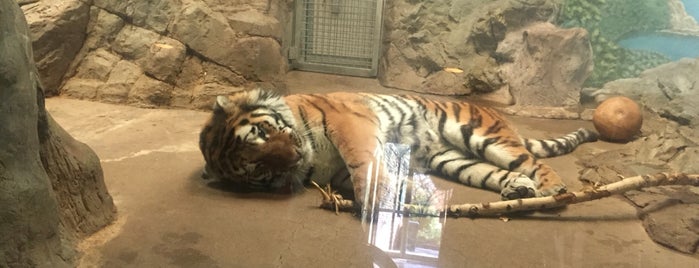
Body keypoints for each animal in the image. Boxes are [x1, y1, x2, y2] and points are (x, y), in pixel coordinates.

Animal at [200, 89, 600, 213]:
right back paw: (519, 189)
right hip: (452, 160)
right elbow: (389, 176)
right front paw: (408, 196)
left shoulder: (350, 123)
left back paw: (551, 188)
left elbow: (363, 162)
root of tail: (496, 113)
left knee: (530, 160)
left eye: (264, 132)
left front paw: (374, 201)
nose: (295, 158)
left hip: (480, 134)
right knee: (497, 172)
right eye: (260, 169)